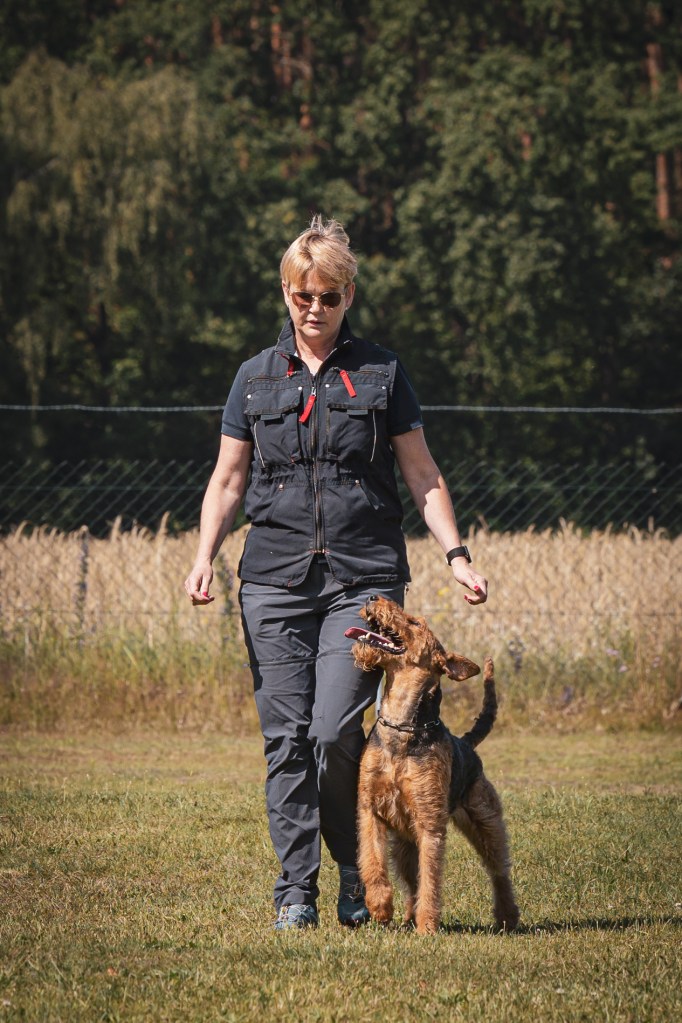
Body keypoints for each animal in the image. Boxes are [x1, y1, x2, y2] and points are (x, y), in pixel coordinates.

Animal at [345, 596, 519, 935]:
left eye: (415, 623)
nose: (372, 597)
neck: (402, 726)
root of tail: (467, 742)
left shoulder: (430, 824)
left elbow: (431, 880)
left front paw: (427, 928)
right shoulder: (370, 810)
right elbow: (372, 863)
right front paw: (380, 908)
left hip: (484, 821)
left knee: (499, 871)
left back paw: (507, 918)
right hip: (403, 842)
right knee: (410, 884)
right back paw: (406, 918)